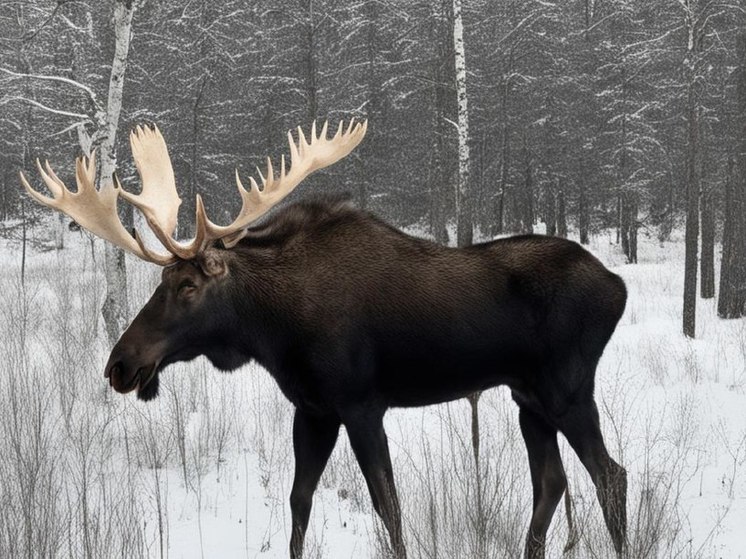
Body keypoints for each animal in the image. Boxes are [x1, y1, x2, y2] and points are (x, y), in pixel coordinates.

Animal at [23, 119, 624, 559]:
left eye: (188, 285)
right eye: (160, 282)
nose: (120, 365)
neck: (272, 329)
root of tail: (617, 287)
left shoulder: (361, 405)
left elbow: (389, 507)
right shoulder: (312, 410)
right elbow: (299, 501)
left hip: (568, 391)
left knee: (610, 476)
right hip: (528, 399)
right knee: (552, 484)